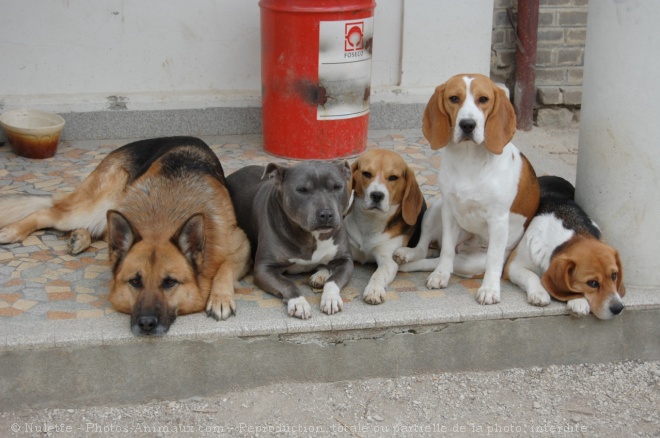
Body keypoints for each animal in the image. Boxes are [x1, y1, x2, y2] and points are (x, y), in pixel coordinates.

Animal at [0, 137, 251, 336]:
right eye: (135, 282)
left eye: (169, 282)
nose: (146, 323)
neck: (162, 218)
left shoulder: (243, 246)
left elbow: (225, 268)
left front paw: (220, 298)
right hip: (98, 204)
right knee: (47, 212)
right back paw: (12, 230)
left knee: (97, 231)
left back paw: (79, 238)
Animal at [227, 161, 354, 318]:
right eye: (302, 190)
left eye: (337, 187)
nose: (326, 213)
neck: (311, 237)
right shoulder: (264, 268)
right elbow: (287, 283)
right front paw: (299, 302)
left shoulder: (345, 261)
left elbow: (333, 280)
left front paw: (330, 298)